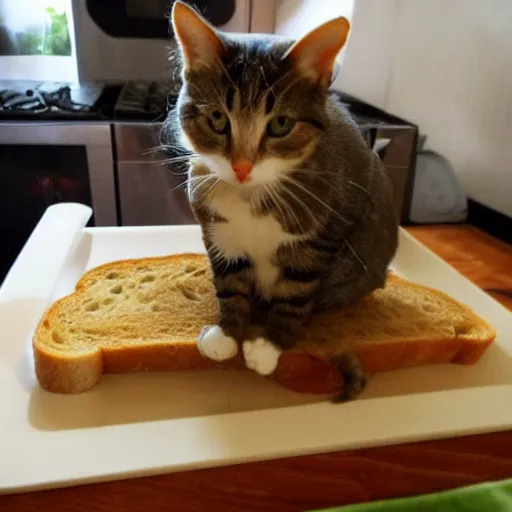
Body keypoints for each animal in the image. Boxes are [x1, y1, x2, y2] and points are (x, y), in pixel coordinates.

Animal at [164, 0, 400, 400]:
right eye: (217, 118)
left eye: (280, 124)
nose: (242, 166)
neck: (251, 195)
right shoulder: (217, 228)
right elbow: (230, 280)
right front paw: (228, 333)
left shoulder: (322, 234)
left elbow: (297, 290)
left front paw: (270, 345)